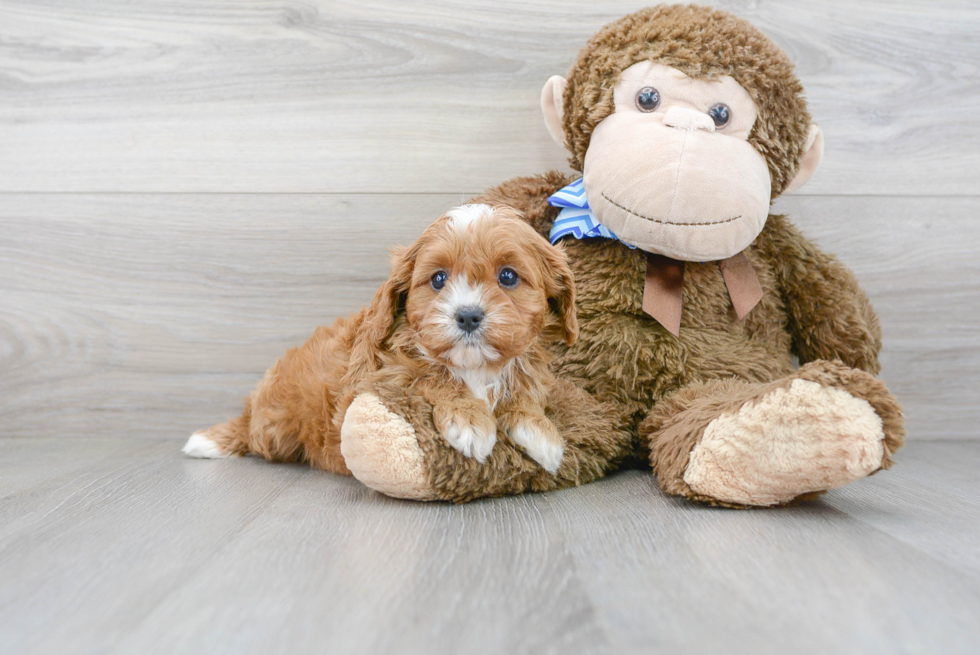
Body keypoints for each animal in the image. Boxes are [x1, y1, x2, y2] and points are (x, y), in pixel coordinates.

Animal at [183, 202, 580, 474]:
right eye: (438, 279)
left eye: (508, 276)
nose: (468, 315)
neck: (476, 367)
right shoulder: (378, 378)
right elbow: (431, 373)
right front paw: (470, 421)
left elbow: (525, 392)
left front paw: (538, 428)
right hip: (275, 427)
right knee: (253, 433)